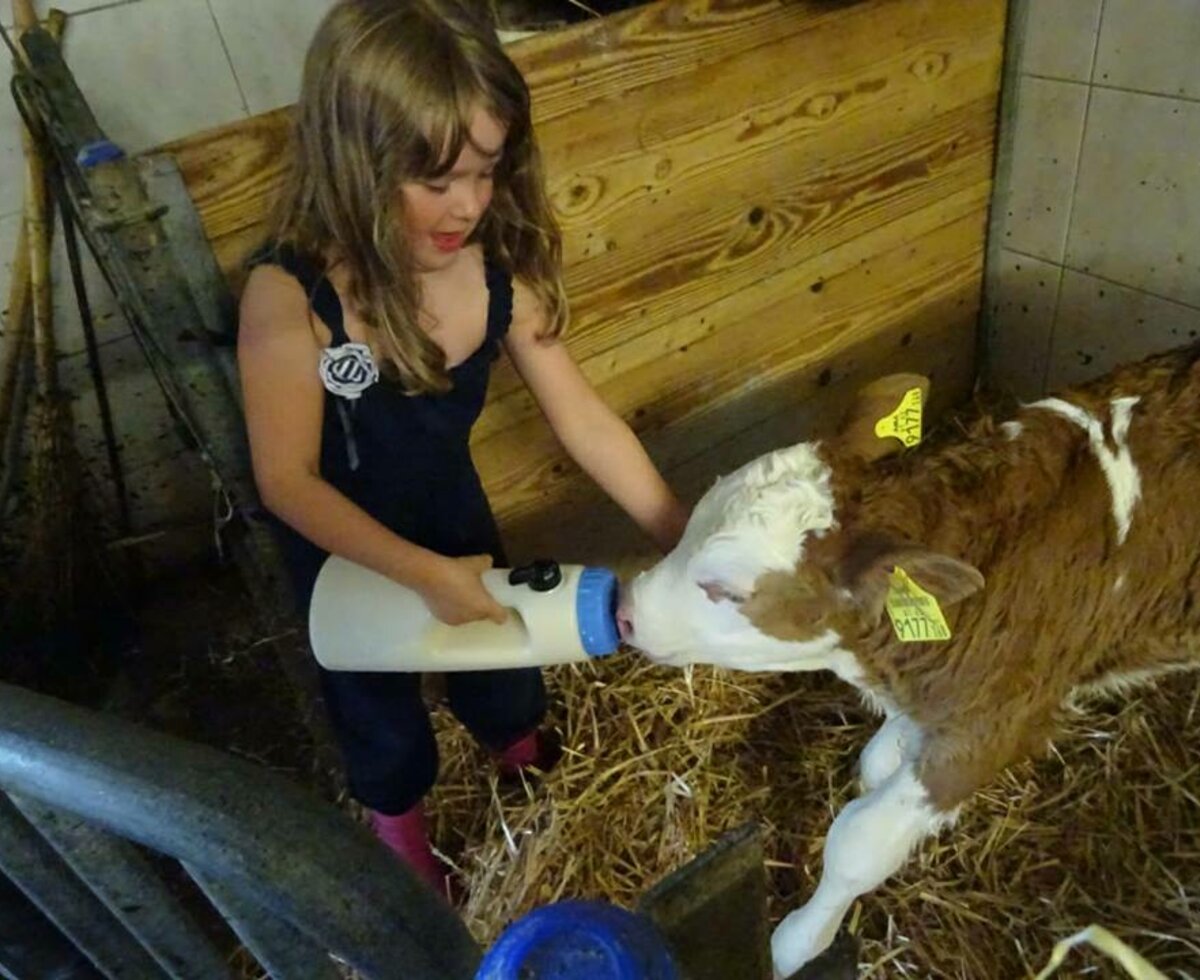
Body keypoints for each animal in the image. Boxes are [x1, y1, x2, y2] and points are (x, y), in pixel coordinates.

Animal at [614, 345, 1200, 978]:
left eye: (724, 589)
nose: (625, 609)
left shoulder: (996, 723)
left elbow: (858, 841)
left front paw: (796, 943)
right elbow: (876, 764)